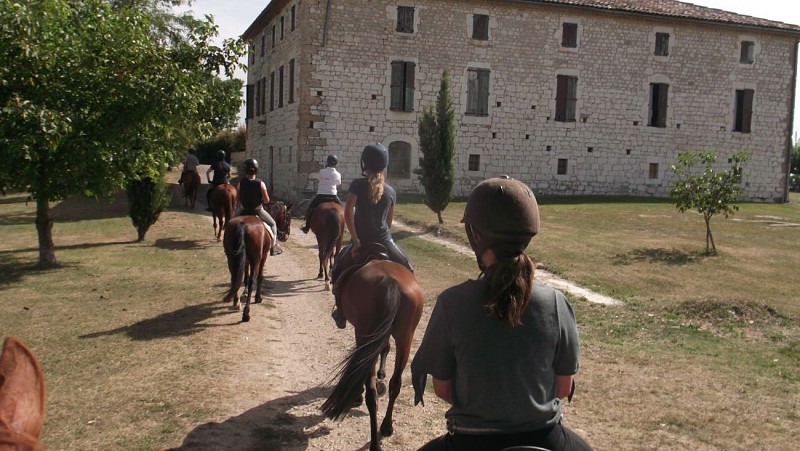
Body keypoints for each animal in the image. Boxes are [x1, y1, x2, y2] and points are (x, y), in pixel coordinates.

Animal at [320, 258, 424, 451]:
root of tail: (390, 282)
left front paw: (358, 394)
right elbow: (385, 349)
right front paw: (381, 374)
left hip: (364, 334)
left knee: (371, 391)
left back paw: (375, 442)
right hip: (405, 337)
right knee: (395, 384)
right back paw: (386, 427)